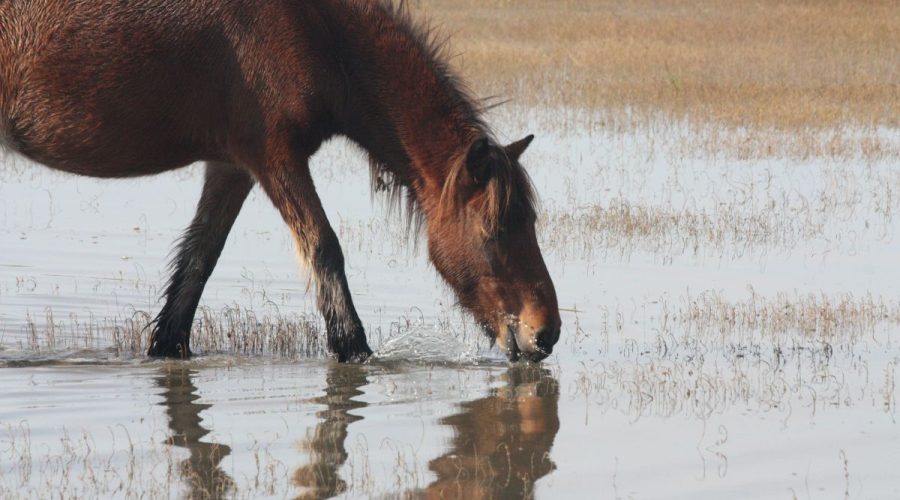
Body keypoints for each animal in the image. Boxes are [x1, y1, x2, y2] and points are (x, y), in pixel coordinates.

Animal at [0, 0, 561, 362]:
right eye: (494, 232)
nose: (547, 333)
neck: (318, 31)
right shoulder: (274, 158)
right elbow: (324, 248)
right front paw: (356, 352)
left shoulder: (232, 167)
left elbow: (198, 262)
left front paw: (168, 350)